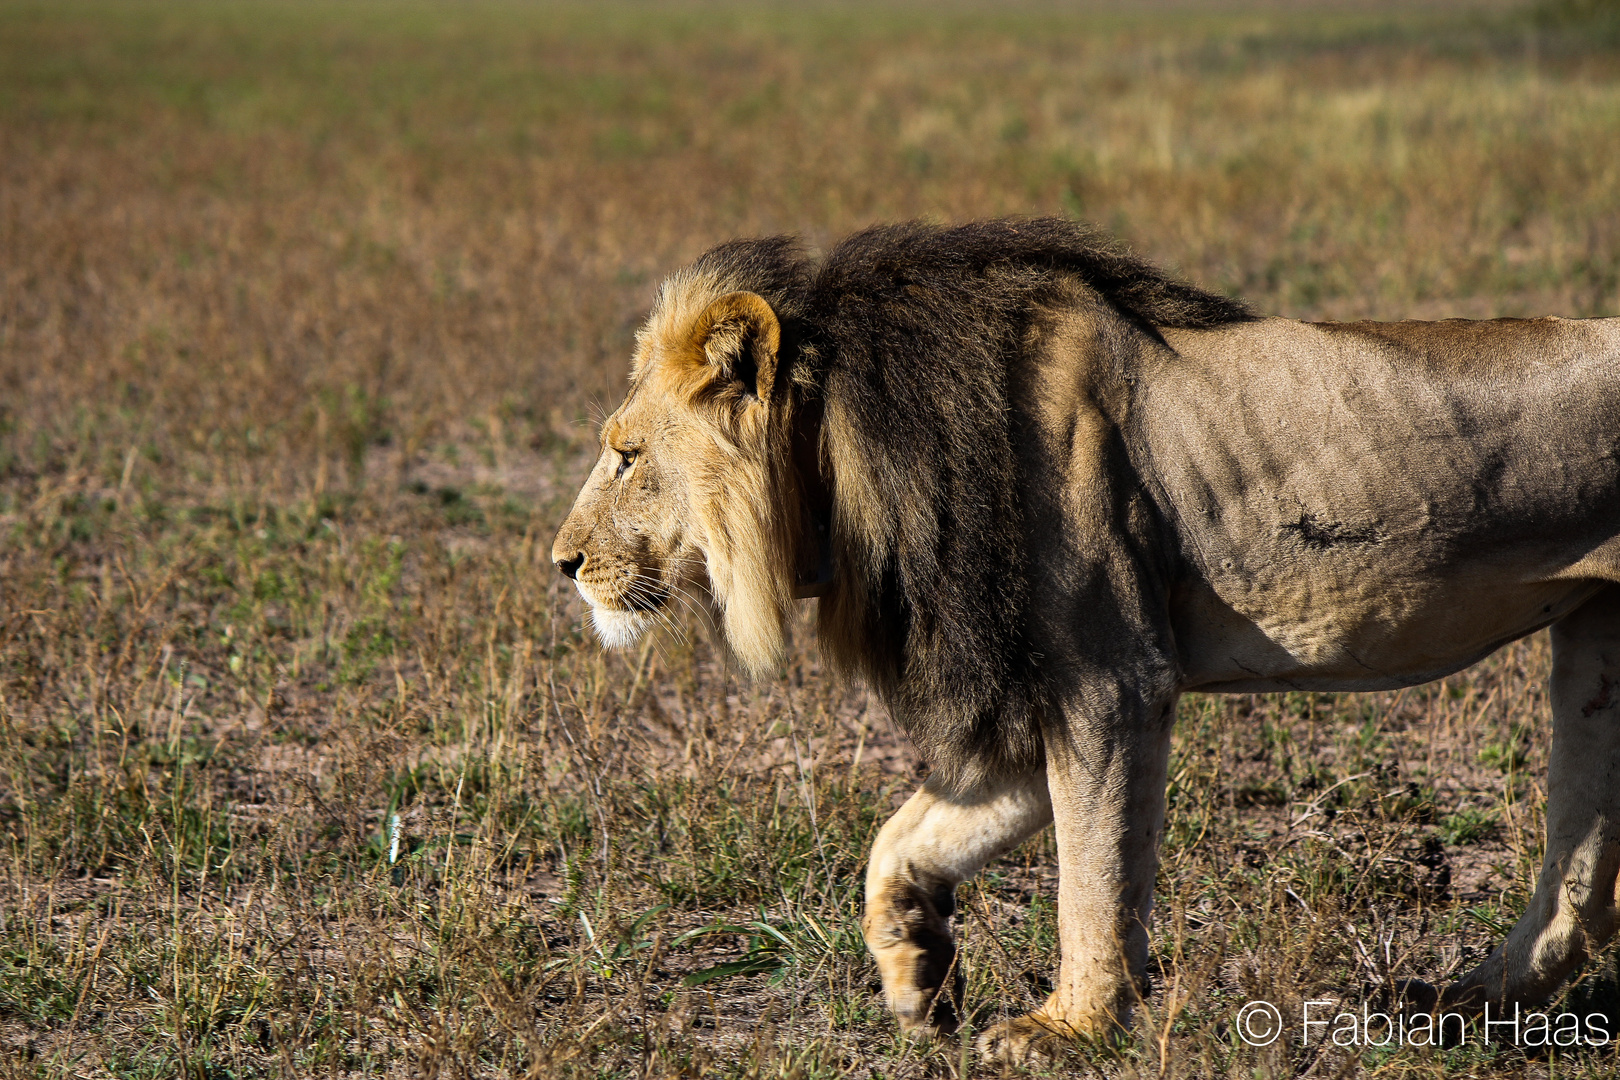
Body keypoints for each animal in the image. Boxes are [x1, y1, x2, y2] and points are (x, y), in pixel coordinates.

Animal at [554, 216, 1620, 1055]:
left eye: (626, 455)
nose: (563, 564)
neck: (846, 466)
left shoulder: (1109, 681)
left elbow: (1093, 873)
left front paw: (1070, 1028)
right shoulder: (1024, 695)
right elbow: (905, 837)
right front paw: (916, 971)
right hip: (1596, 649)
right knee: (1581, 866)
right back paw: (1465, 1008)